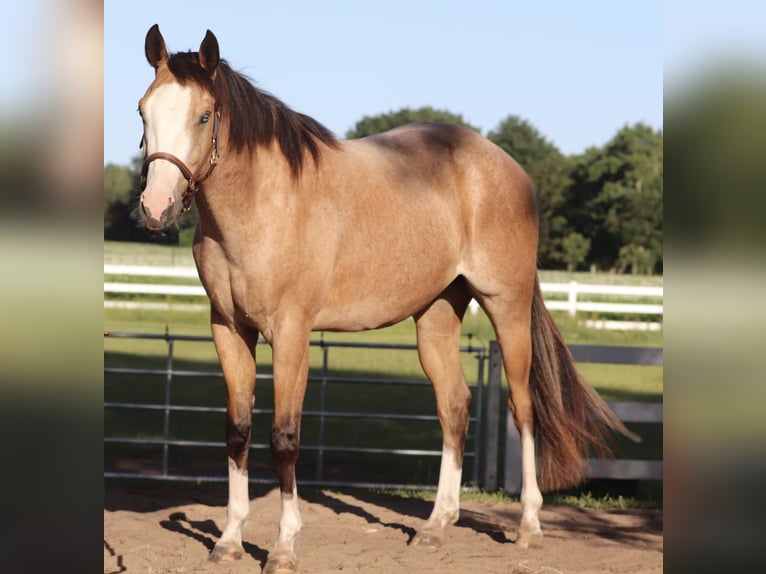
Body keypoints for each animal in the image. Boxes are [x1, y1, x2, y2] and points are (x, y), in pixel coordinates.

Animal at [136, 24, 636, 574]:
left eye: (204, 115)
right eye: (143, 111)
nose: (156, 208)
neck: (263, 204)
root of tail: (507, 167)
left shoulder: (290, 333)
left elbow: (285, 438)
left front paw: (284, 546)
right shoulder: (228, 330)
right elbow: (238, 431)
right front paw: (229, 539)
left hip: (505, 306)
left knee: (522, 408)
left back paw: (528, 525)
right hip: (436, 316)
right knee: (454, 407)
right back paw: (437, 525)